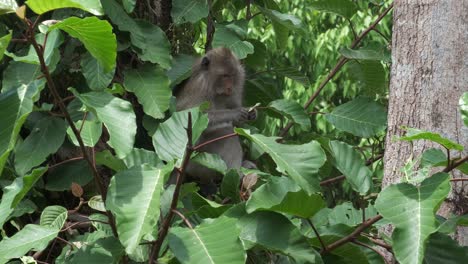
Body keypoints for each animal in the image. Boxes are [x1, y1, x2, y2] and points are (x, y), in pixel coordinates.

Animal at [175, 47, 256, 188]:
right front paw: (235, 113)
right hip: (197, 161)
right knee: (227, 134)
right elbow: (195, 118)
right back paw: (237, 173)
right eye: (224, 76)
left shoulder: (238, 84)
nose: (229, 87)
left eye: (232, 75)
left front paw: (252, 113)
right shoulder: (200, 87)